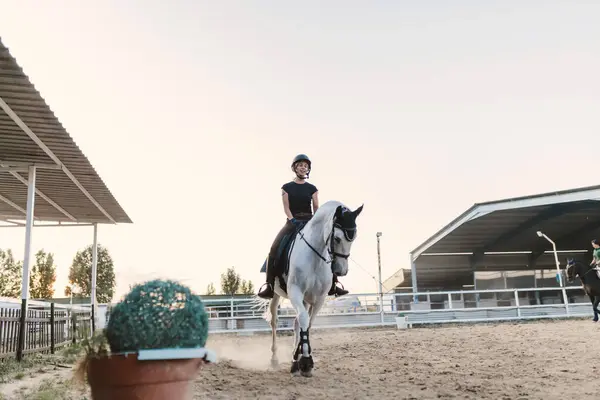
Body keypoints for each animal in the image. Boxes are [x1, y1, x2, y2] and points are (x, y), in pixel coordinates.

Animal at [252, 202, 360, 376]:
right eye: (337, 238)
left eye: (354, 238)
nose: (341, 271)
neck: (315, 255)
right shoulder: (295, 291)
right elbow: (303, 319)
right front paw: (306, 361)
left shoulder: (319, 298)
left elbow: (308, 323)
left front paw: (300, 360)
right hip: (276, 294)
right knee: (275, 321)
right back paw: (274, 359)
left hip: (306, 299)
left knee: (297, 323)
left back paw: (294, 359)